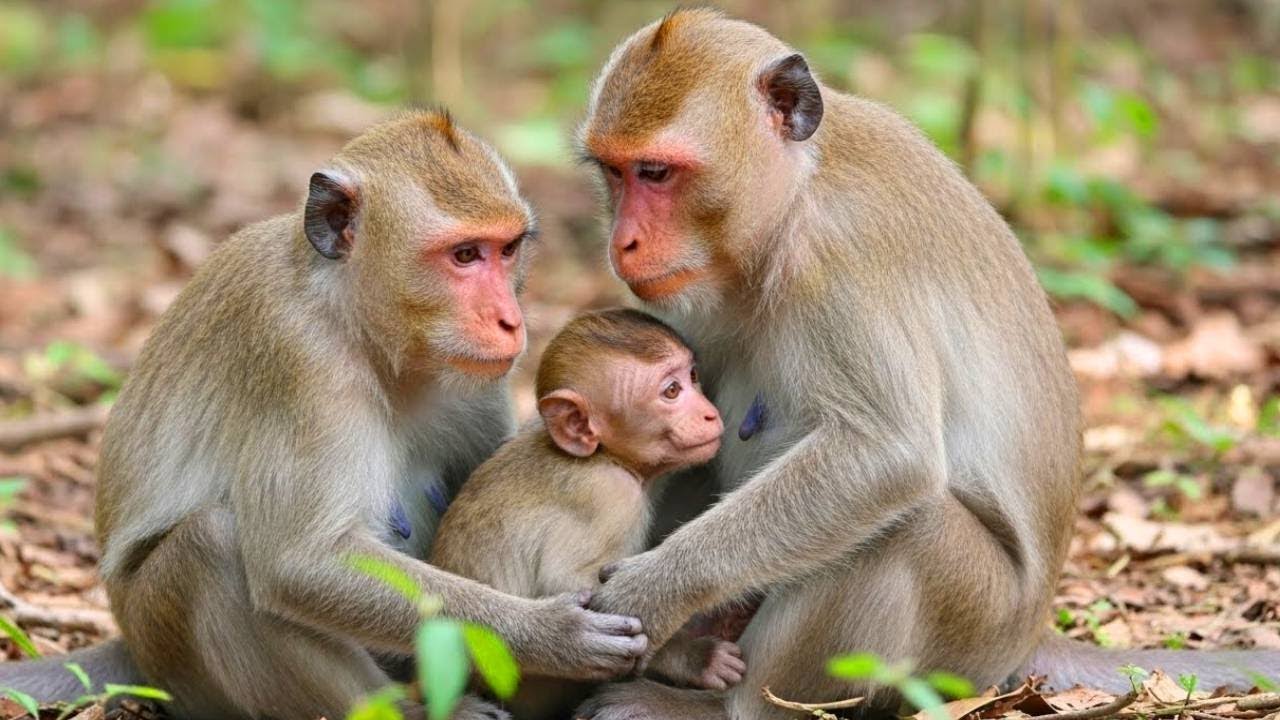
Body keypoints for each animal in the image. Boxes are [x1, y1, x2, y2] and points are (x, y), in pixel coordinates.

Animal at [0, 110, 648, 720]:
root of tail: (130, 645)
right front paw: (548, 633)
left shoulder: (481, 378)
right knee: (213, 546)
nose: (510, 320)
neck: (359, 322)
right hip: (168, 651)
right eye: (464, 255)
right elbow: (300, 565)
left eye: (508, 249)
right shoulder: (300, 359)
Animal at [430, 308, 744, 719]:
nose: (709, 414)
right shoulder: (610, 497)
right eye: (671, 392)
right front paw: (694, 657)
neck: (604, 456)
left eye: (692, 377)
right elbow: (563, 584)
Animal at [566, 9, 1280, 719]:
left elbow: (888, 454)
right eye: (614, 173)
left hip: (973, 632)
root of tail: (1030, 636)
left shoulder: (840, 255)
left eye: (657, 173)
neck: (794, 199)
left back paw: (718, 707)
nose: (622, 242)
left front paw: (650, 595)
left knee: (907, 527)